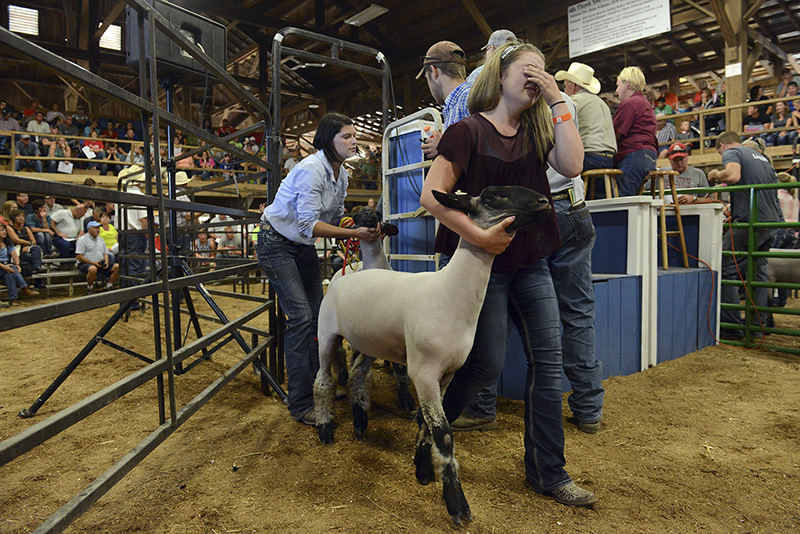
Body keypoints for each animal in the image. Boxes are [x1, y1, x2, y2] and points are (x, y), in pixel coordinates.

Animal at [312, 185, 552, 528]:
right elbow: (443, 433)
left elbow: (427, 424)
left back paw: (359, 423)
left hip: (370, 341)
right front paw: (457, 505)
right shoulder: (423, 371)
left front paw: (423, 470)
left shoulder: (447, 372)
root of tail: (343, 276)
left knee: (358, 375)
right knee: (322, 381)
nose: (545, 202)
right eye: (492, 196)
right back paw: (325, 430)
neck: (449, 292)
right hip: (328, 334)